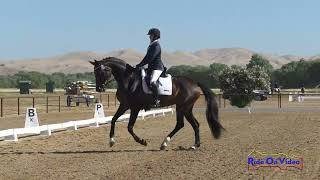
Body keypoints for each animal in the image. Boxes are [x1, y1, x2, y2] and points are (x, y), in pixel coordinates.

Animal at [90, 57, 224, 150]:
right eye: (94, 73)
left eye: (101, 72)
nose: (99, 89)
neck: (129, 80)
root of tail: (195, 83)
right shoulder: (124, 105)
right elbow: (113, 119)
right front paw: (111, 141)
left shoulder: (135, 108)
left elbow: (129, 127)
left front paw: (142, 141)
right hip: (185, 108)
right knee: (192, 124)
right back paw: (193, 145)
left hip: (183, 107)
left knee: (182, 124)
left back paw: (167, 143)